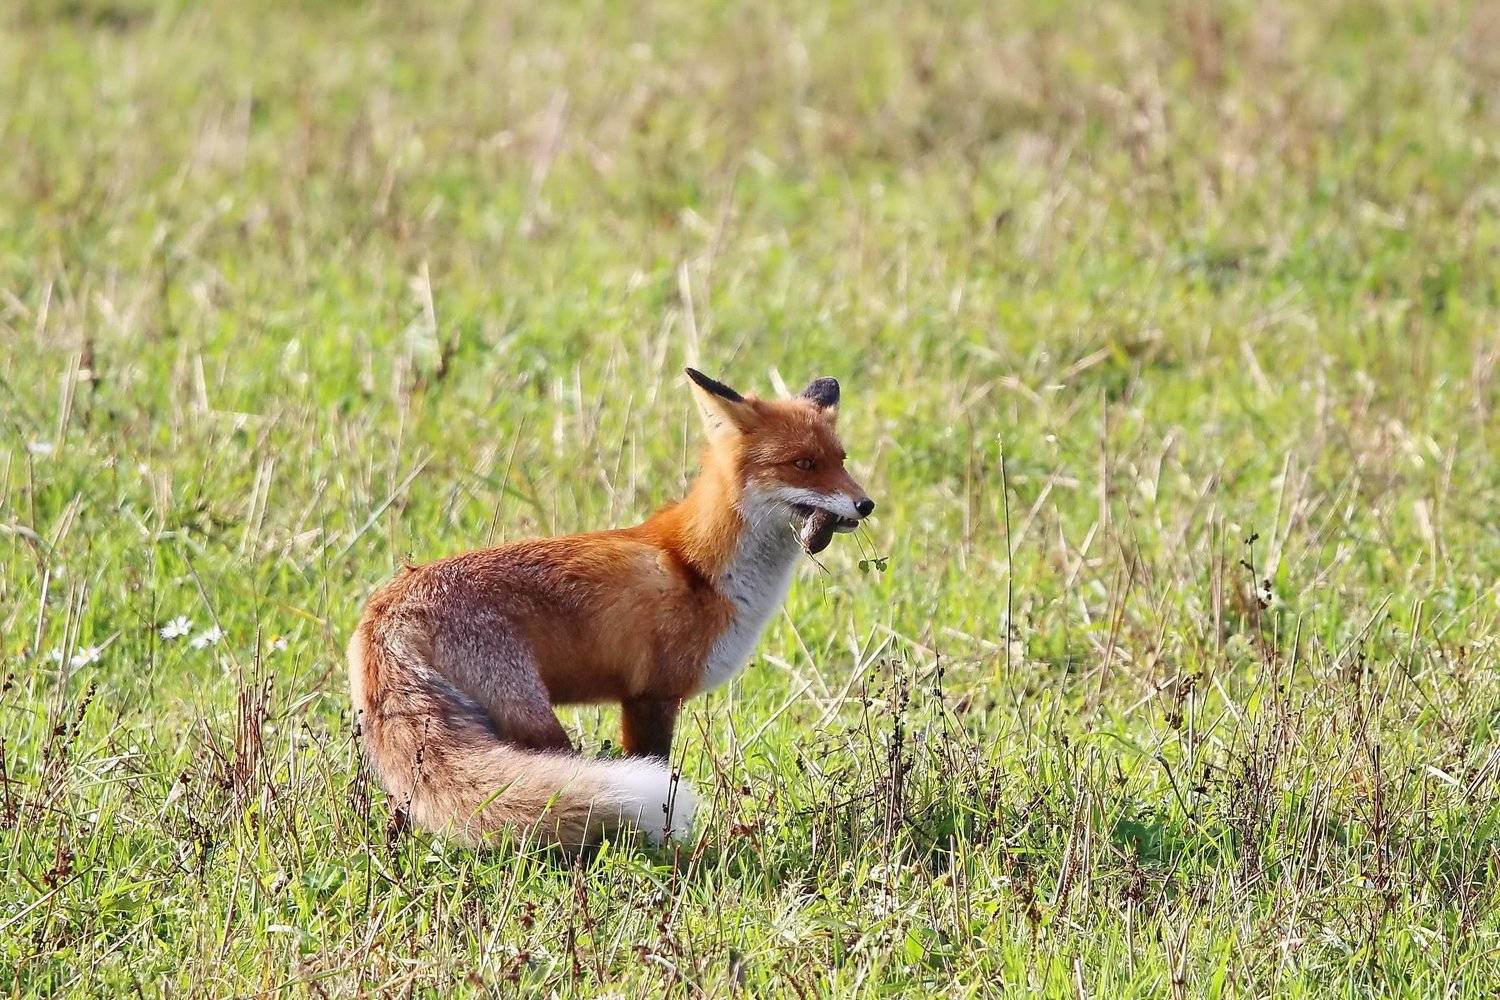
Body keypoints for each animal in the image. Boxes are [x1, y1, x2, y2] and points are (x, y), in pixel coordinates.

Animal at [347, 368, 875, 847]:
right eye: (803, 463)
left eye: (841, 459)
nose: (865, 504)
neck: (702, 569)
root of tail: (384, 613)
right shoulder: (651, 695)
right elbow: (658, 770)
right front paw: (672, 848)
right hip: (535, 722)